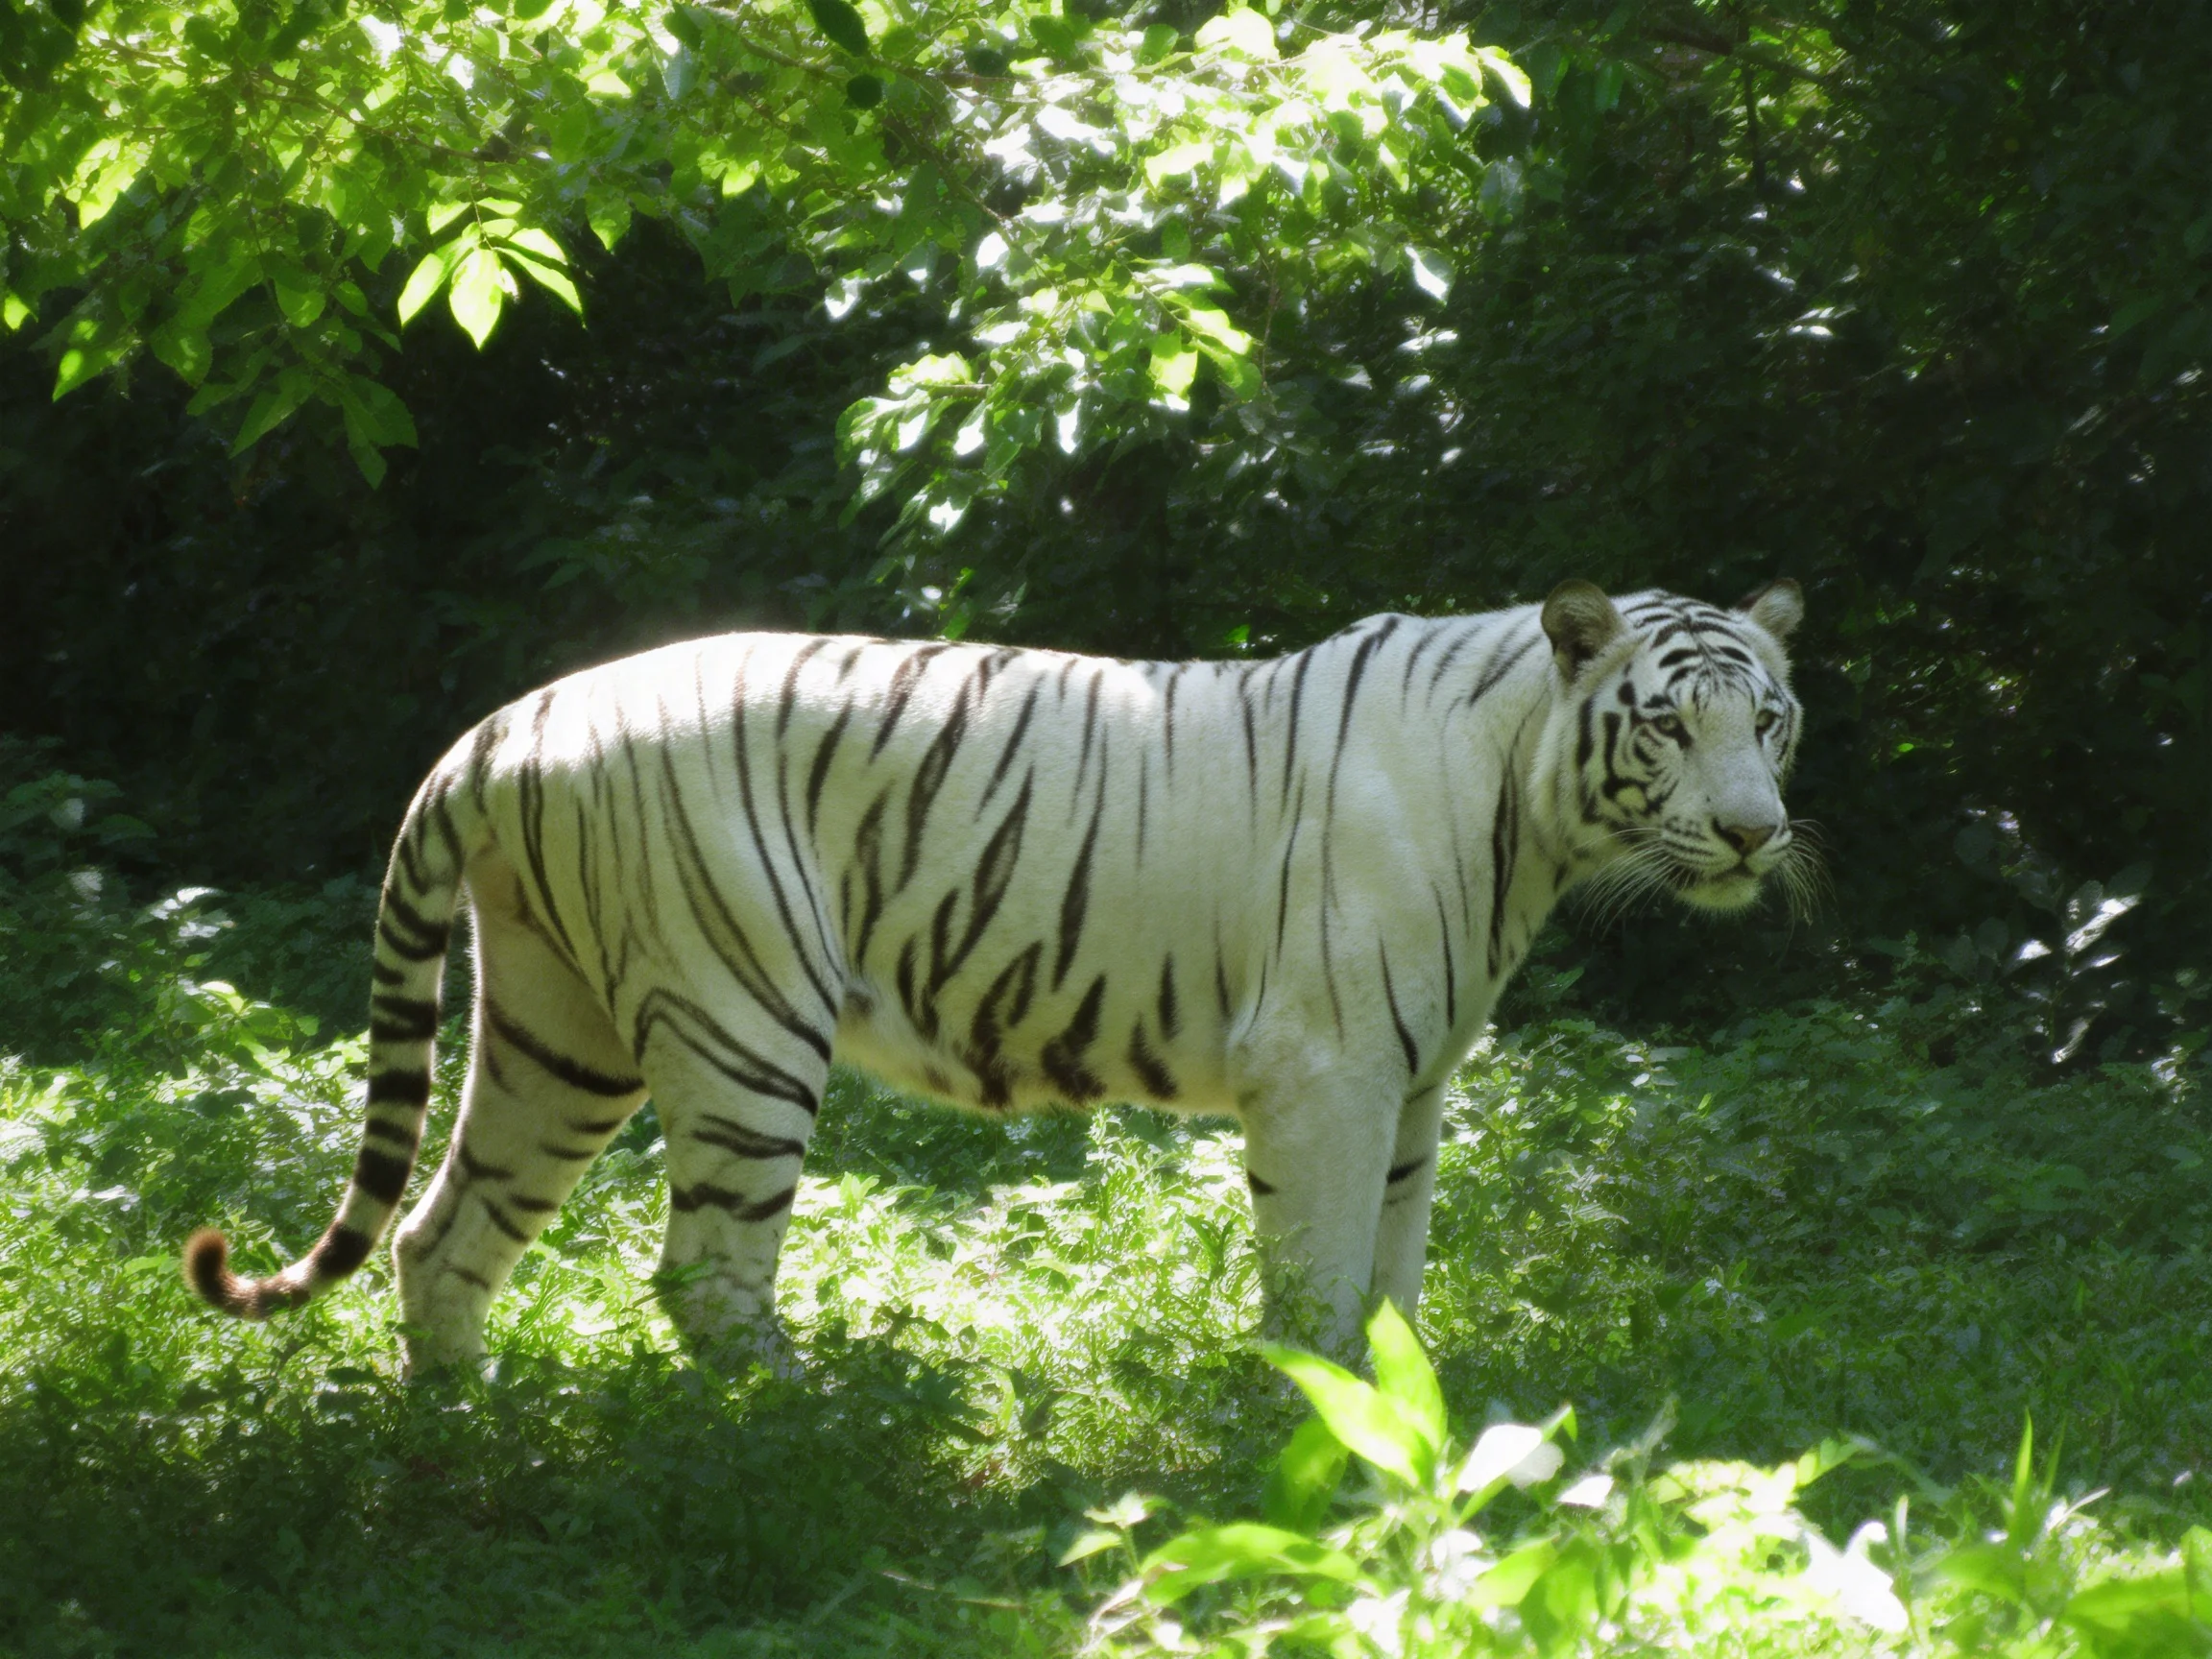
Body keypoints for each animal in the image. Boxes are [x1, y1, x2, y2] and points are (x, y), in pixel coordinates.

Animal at [185, 578, 1809, 1372]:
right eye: (1669, 725)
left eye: (1772, 721)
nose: (1754, 833)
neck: (1527, 813)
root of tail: (499, 729)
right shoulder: (1329, 1077)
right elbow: (1323, 1281)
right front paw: (1315, 1433)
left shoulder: (1414, 1092)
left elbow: (1398, 1280)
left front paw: (1409, 1424)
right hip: (741, 1022)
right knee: (704, 1272)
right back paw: (804, 1431)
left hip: (554, 1028)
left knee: (440, 1236)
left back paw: (466, 1437)